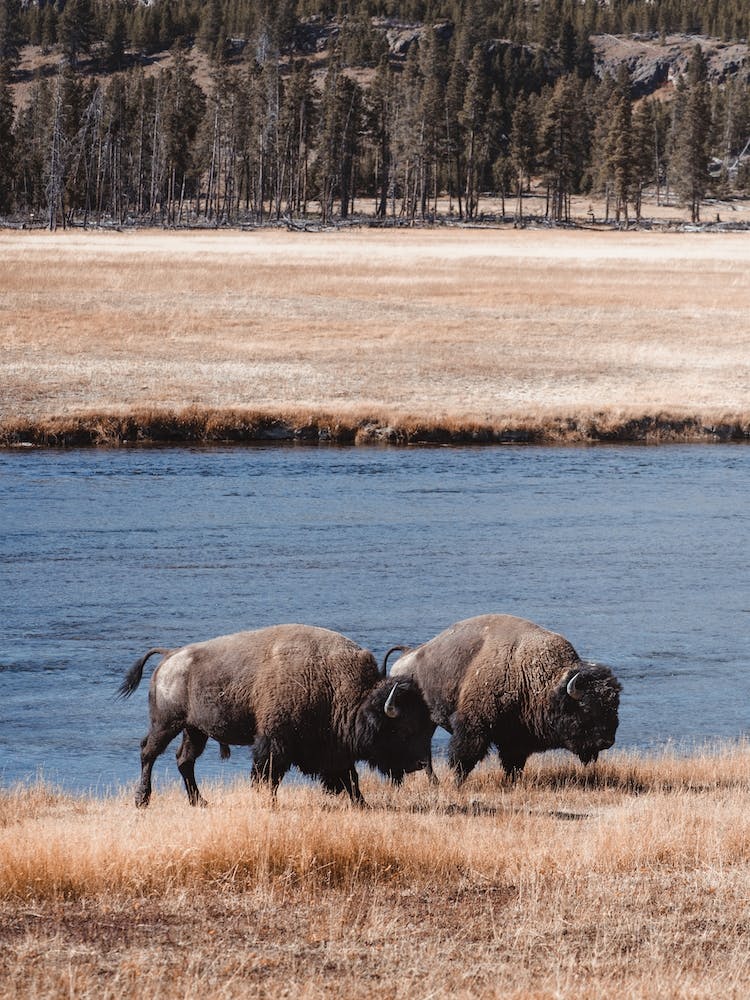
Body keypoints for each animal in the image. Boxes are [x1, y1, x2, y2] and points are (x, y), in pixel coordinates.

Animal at [118, 624, 432, 807]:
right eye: (402, 729)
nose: (419, 763)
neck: (336, 683)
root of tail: (170, 656)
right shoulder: (275, 741)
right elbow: (268, 775)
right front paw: (269, 804)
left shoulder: (334, 748)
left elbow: (350, 778)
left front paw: (362, 804)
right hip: (166, 723)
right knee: (149, 753)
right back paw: (142, 800)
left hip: (194, 729)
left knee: (185, 760)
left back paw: (200, 802)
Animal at [387, 614, 622, 784]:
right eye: (586, 708)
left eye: (614, 706)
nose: (607, 741)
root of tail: (405, 657)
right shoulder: (474, 727)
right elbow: (464, 757)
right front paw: (457, 783)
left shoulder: (516, 737)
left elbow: (513, 763)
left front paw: (511, 782)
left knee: (424, 752)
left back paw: (433, 782)